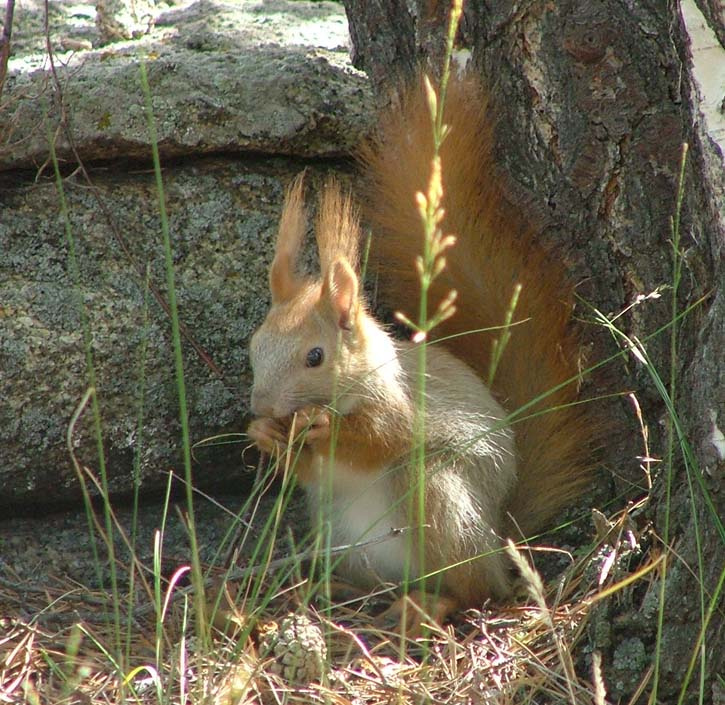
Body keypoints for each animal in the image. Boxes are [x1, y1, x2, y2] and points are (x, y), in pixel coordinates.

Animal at [247, 73, 595, 624]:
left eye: (315, 357)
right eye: (254, 347)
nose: (261, 406)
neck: (360, 382)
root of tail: (499, 536)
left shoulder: (399, 407)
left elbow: (379, 440)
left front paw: (321, 426)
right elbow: (308, 471)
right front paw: (264, 434)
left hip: (436, 493)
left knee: (478, 590)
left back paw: (430, 604)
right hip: (343, 534)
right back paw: (341, 591)